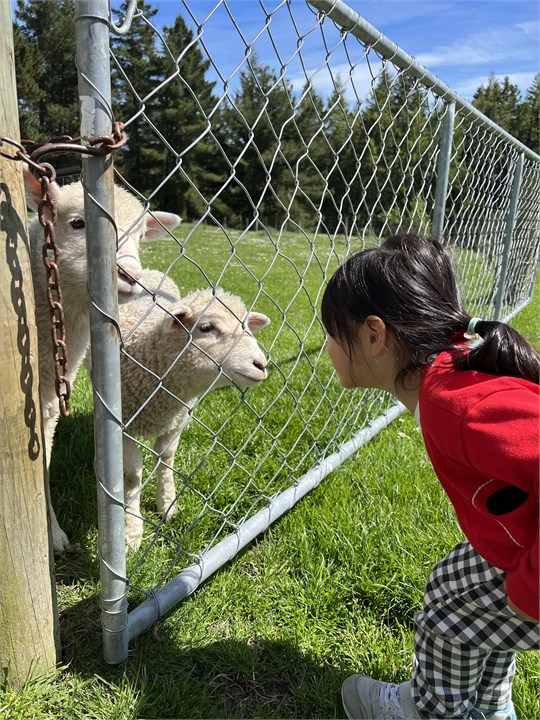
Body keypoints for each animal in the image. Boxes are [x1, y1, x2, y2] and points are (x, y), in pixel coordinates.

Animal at [24, 170, 181, 551]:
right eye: (78, 223)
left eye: (141, 236)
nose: (131, 275)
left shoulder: (48, 406)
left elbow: (43, 468)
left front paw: (51, 535)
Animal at [118, 269, 270, 550]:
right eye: (207, 327)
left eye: (246, 326)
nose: (261, 364)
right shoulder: (123, 422)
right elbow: (131, 475)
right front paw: (131, 533)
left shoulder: (177, 420)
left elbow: (166, 458)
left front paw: (167, 505)